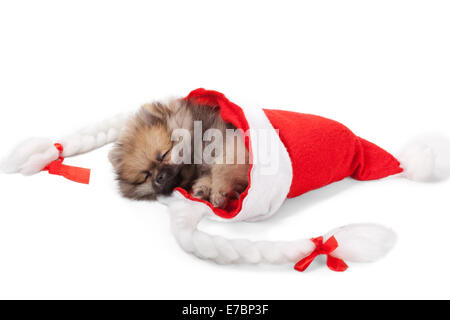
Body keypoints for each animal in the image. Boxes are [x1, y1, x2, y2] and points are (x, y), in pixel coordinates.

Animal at [109, 97, 250, 208]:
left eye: (163, 155)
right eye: (146, 175)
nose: (159, 177)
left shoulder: (231, 143)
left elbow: (222, 168)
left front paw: (219, 192)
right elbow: (209, 175)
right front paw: (202, 189)